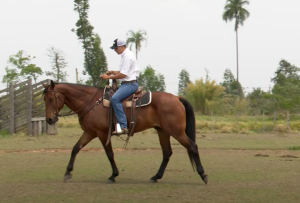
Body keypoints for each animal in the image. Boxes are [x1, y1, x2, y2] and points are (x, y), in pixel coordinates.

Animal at [41, 79, 209, 184]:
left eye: (51, 98)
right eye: (44, 99)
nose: (49, 119)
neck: (91, 102)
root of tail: (177, 98)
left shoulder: (101, 133)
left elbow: (109, 154)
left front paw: (113, 175)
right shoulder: (90, 132)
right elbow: (76, 148)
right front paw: (67, 173)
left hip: (176, 131)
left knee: (192, 147)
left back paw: (203, 175)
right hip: (163, 131)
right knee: (167, 153)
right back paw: (155, 177)